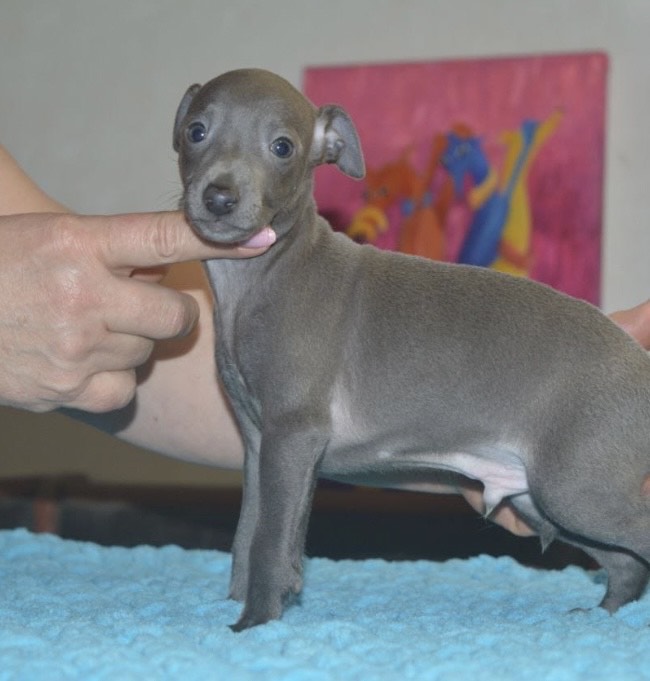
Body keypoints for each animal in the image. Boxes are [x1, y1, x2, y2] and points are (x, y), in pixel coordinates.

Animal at [174, 68, 650, 631]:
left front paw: (255, 624)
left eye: (282, 147)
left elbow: (270, 540)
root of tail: (640, 363)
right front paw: (240, 606)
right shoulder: (258, 444)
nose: (219, 197)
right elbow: (250, 531)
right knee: (625, 564)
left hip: (576, 486)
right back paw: (600, 618)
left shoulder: (292, 434)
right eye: (197, 131)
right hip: (545, 497)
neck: (261, 276)